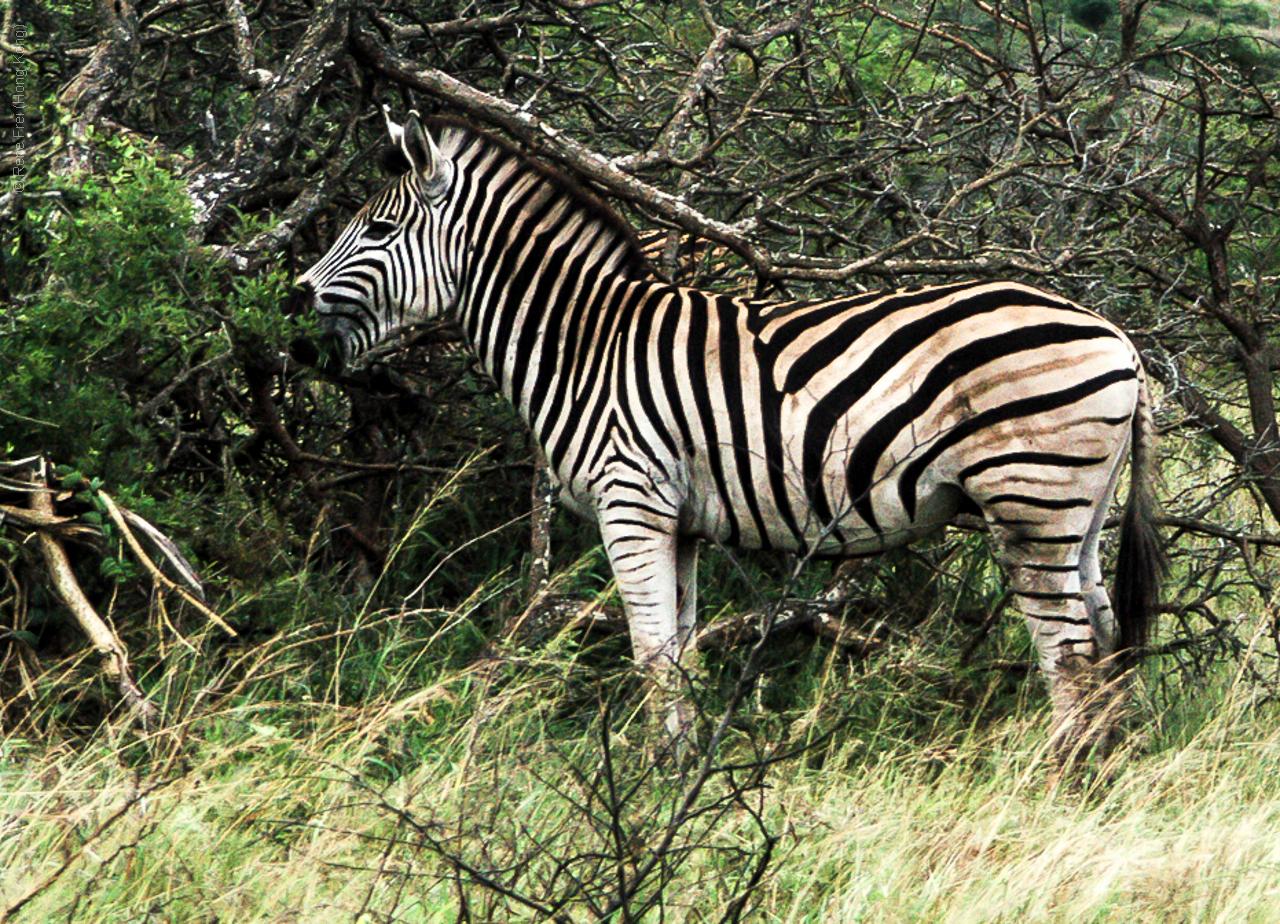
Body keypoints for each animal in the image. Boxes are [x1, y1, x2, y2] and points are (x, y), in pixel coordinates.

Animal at [288, 111, 1162, 752]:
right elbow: (679, 647)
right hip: (1075, 510)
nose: (294, 314)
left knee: (1071, 655)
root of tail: (1118, 338)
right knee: (1105, 640)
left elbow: (649, 650)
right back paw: (1102, 784)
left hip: (1028, 498)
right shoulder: (681, 522)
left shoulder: (630, 500)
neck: (583, 344)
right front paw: (675, 769)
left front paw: (651, 784)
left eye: (376, 231)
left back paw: (1055, 787)